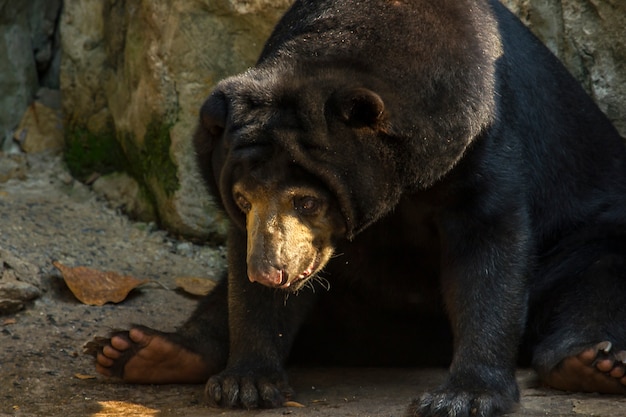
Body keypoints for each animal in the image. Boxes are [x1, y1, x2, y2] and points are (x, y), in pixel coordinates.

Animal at [85, 0, 624, 416]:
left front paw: (464, 397)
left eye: (307, 200)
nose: (270, 271)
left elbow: (489, 249)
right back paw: (141, 350)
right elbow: (246, 289)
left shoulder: (479, 142)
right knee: (221, 297)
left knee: (598, 275)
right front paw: (246, 383)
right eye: (241, 200)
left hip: (582, 235)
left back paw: (594, 364)